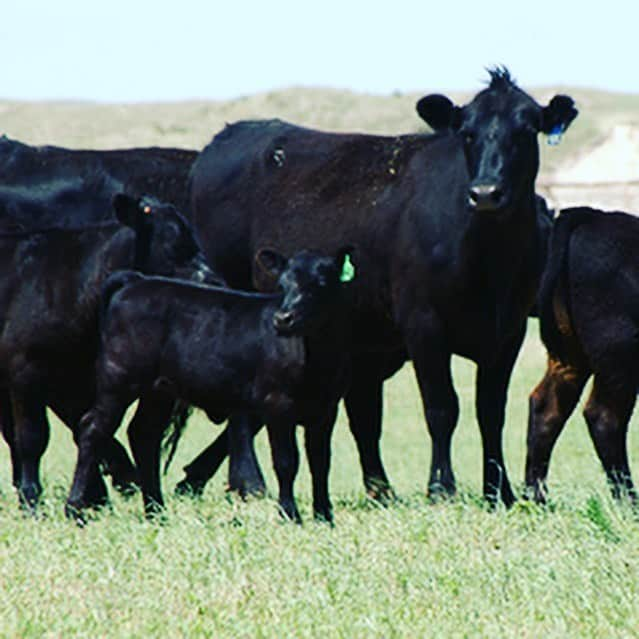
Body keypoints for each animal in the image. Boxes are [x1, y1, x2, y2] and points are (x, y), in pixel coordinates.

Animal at [0, 192, 216, 508]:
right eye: (175, 248)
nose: (216, 283)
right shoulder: (25, 370)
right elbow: (32, 437)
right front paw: (32, 500)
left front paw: (95, 496)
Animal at [66, 248, 356, 524]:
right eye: (282, 285)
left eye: (320, 284)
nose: (283, 318)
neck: (316, 356)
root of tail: (137, 281)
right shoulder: (277, 404)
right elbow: (287, 462)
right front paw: (290, 515)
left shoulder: (326, 409)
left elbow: (321, 463)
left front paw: (325, 517)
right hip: (118, 379)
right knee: (93, 428)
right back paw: (75, 508)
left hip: (159, 391)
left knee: (143, 434)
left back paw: (156, 511)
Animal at [188, 69, 576, 504]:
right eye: (467, 133)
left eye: (526, 131)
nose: (486, 192)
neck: (489, 260)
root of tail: (228, 135)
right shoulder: (423, 323)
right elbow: (442, 408)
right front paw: (441, 487)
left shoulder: (507, 331)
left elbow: (490, 412)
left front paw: (499, 490)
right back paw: (248, 481)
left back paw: (379, 489)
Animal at [528, 208, 639, 502]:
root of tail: (593, 215)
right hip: (619, 356)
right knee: (604, 417)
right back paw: (629, 501)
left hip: (569, 359)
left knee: (546, 409)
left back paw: (537, 498)